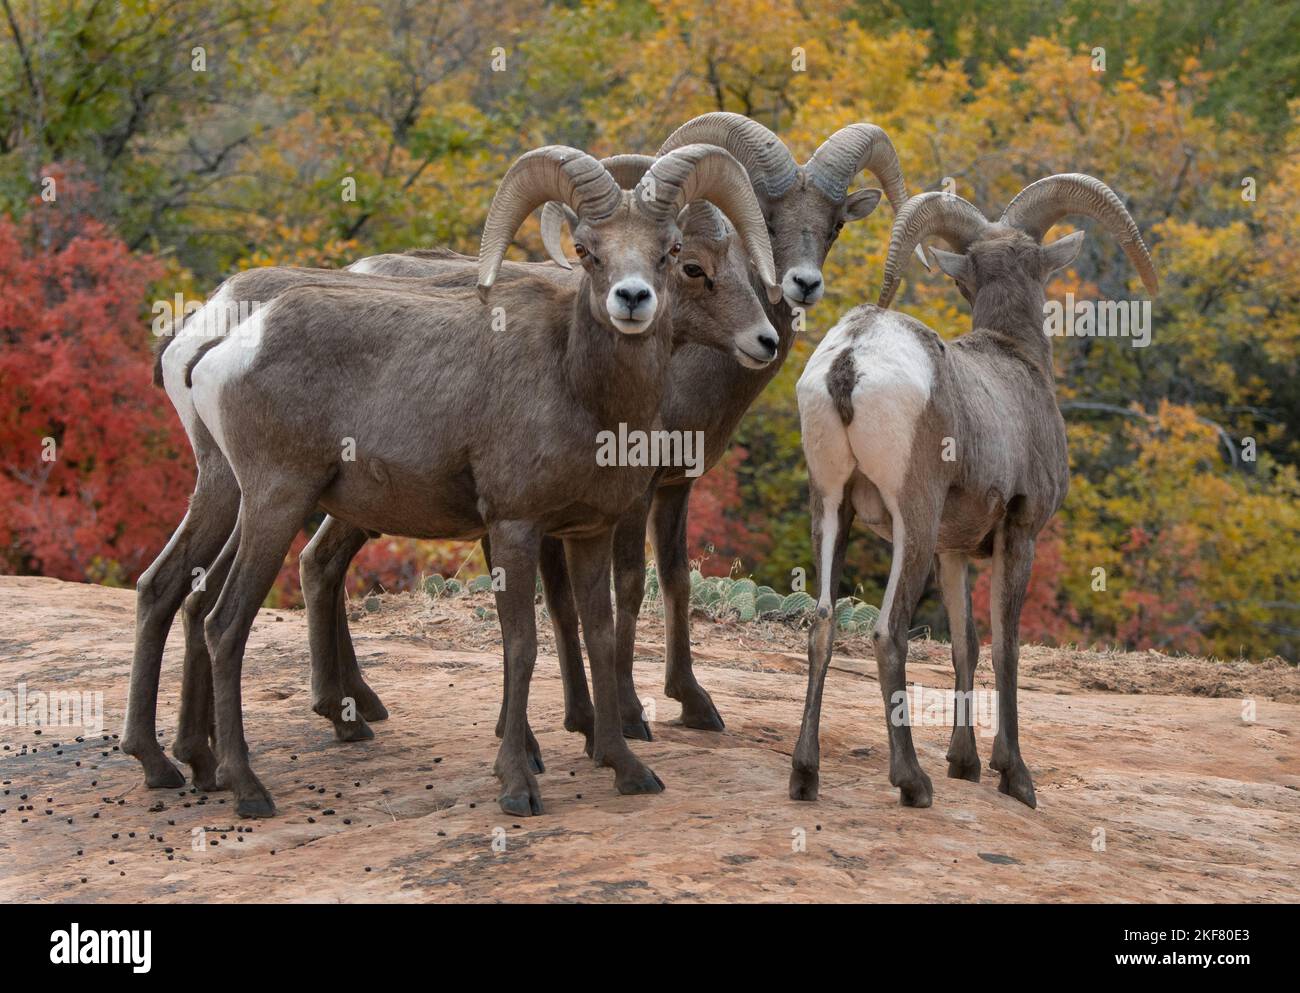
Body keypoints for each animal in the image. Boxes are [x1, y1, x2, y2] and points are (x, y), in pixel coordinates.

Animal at [780, 172, 1159, 805]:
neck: (1018, 363)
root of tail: (851, 359)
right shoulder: (1018, 532)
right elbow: (1006, 646)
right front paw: (1013, 776)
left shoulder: (952, 551)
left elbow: (967, 643)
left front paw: (966, 763)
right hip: (912, 520)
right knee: (887, 633)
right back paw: (913, 783)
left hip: (831, 509)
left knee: (822, 625)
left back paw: (805, 776)